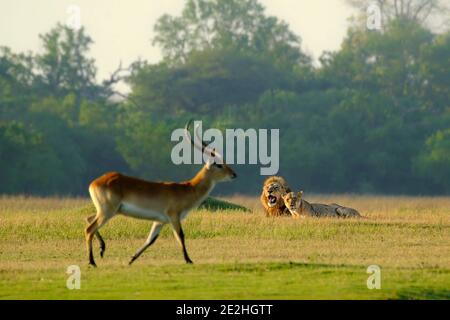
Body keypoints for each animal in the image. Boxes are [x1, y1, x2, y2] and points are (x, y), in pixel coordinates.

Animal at [85, 119, 237, 266]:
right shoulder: (174, 216)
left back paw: (102, 249)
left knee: (88, 219)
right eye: (219, 165)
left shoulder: (160, 221)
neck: (188, 189)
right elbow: (181, 236)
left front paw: (131, 259)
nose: (234, 174)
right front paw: (188, 260)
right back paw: (92, 262)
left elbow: (150, 240)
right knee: (89, 229)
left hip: (108, 211)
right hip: (108, 211)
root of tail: (94, 183)